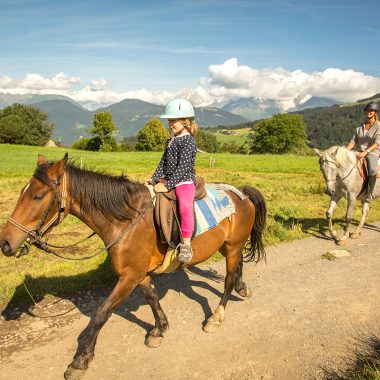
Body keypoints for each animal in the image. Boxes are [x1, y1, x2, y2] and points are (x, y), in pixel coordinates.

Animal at [0, 153, 266, 378]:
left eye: (38, 196)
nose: (5, 243)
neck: (125, 219)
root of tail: (240, 192)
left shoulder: (128, 277)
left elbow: (101, 314)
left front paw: (81, 360)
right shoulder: (139, 274)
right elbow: (152, 297)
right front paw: (160, 329)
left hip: (233, 246)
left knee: (228, 280)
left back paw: (216, 317)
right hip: (228, 246)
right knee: (237, 267)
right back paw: (242, 287)